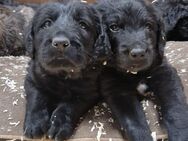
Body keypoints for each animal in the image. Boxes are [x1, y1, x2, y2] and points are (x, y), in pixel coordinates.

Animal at [23, 1, 107, 140]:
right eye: (46, 24)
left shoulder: (87, 92)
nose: (60, 43)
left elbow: (68, 107)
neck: (62, 74)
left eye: (82, 25)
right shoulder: (32, 78)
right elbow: (36, 99)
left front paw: (59, 126)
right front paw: (34, 123)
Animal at [96, 0, 188, 140]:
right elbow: (134, 123)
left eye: (148, 26)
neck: (136, 74)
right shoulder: (116, 91)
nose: (138, 53)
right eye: (114, 27)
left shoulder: (165, 73)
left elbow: (176, 108)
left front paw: (181, 135)